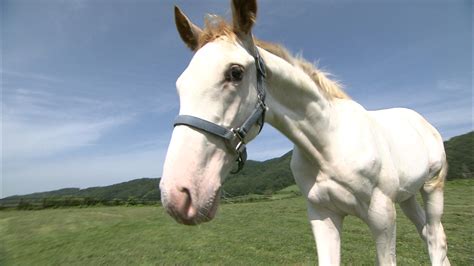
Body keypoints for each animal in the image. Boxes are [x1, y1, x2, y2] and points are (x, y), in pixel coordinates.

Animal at [158, 1, 448, 264]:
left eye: (235, 72)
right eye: (180, 84)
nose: (179, 194)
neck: (329, 142)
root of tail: (422, 122)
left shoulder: (382, 216)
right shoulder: (322, 214)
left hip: (432, 187)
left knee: (436, 239)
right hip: (407, 196)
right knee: (427, 232)